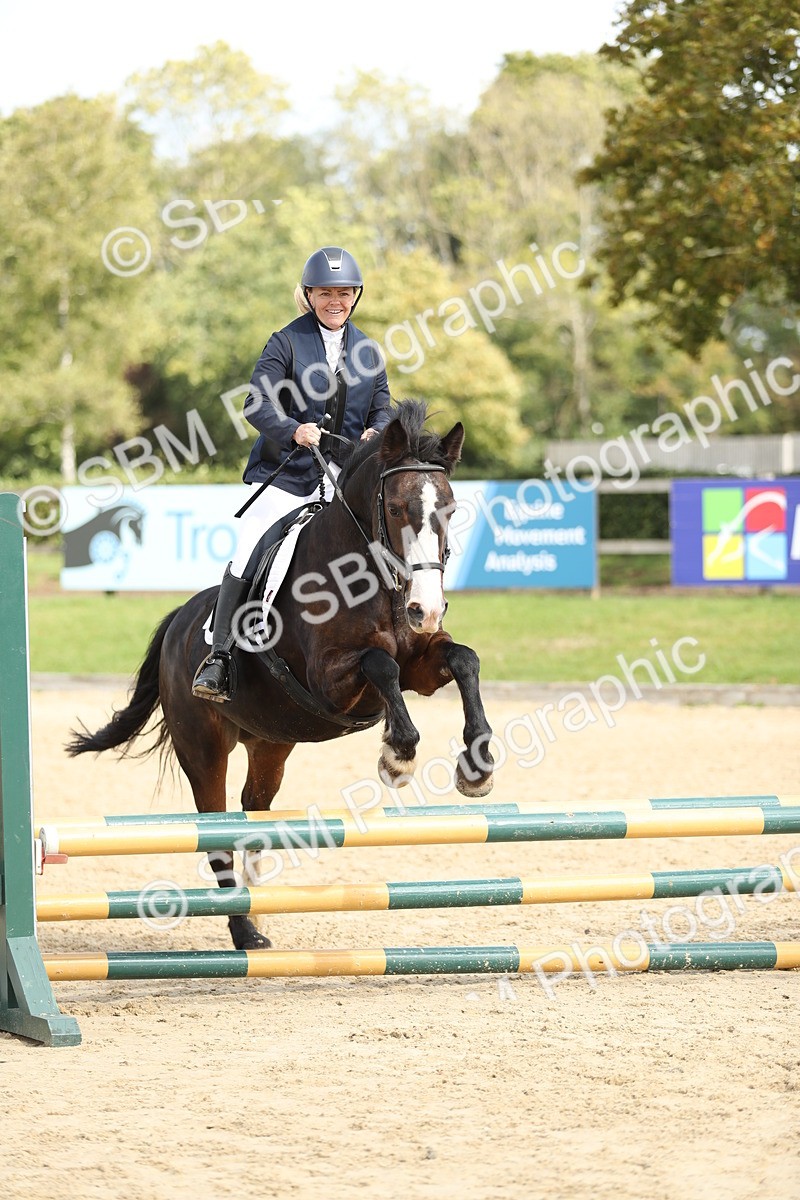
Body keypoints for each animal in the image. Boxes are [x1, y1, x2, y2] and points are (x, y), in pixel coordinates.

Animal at [66, 400, 495, 951]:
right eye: (398, 509)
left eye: (451, 511)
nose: (428, 608)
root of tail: (177, 621)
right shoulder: (331, 683)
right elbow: (381, 665)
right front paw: (398, 756)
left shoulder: (421, 663)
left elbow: (464, 659)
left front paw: (478, 765)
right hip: (203, 749)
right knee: (217, 835)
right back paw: (246, 931)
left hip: (271, 742)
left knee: (253, 811)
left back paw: (259, 914)